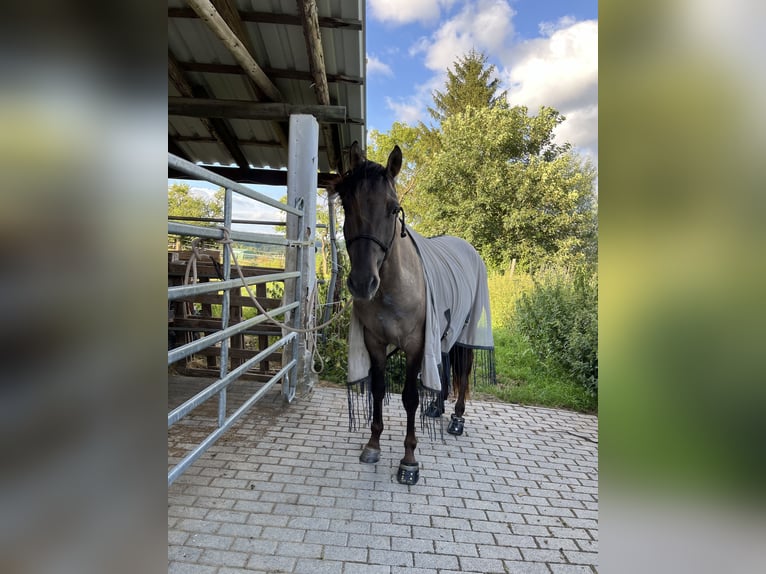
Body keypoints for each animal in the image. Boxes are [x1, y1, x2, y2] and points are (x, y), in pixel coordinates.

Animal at [336, 142, 498, 484]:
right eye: (346, 204)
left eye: (393, 208)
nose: (362, 283)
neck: (394, 287)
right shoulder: (374, 343)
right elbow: (379, 390)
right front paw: (373, 444)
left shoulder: (414, 345)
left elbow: (409, 397)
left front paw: (409, 461)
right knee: (445, 363)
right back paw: (436, 407)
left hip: (465, 330)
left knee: (463, 369)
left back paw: (457, 419)